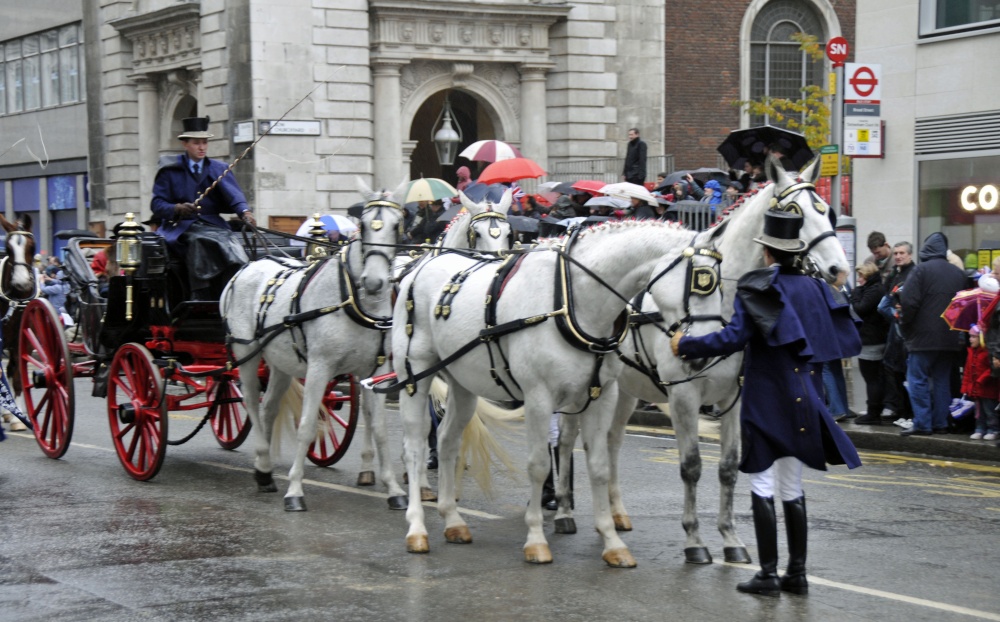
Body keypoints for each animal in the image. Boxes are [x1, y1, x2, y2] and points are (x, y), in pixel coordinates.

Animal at [227, 179, 410, 512]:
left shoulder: (376, 371)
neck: (352, 300)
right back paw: (263, 464)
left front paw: (393, 489)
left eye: (396, 225)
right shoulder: (319, 368)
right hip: (246, 354)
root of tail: (250, 265)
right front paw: (295, 490)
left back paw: (264, 471)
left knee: (268, 408)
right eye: (364, 225)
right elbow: (307, 425)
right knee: (250, 403)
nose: (374, 283)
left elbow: (378, 430)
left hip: (280, 362)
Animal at [386, 222, 724, 568]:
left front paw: (612, 541)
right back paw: (417, 527)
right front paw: (536, 539)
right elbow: (538, 465)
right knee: (413, 447)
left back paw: (452, 519)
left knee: (447, 440)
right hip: (415, 375)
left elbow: (599, 467)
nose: (703, 352)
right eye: (702, 281)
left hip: (463, 383)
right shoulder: (539, 397)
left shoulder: (601, 396)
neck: (574, 297)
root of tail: (417, 267)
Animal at [552, 155, 848, 564]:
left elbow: (728, 467)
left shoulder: (733, 399)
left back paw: (615, 513)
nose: (839, 271)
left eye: (827, 211)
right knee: (566, 441)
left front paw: (731, 538)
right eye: (794, 212)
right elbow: (691, 466)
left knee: (611, 442)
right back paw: (564, 510)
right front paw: (694, 539)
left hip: (625, 389)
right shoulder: (684, 396)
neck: (722, 307)